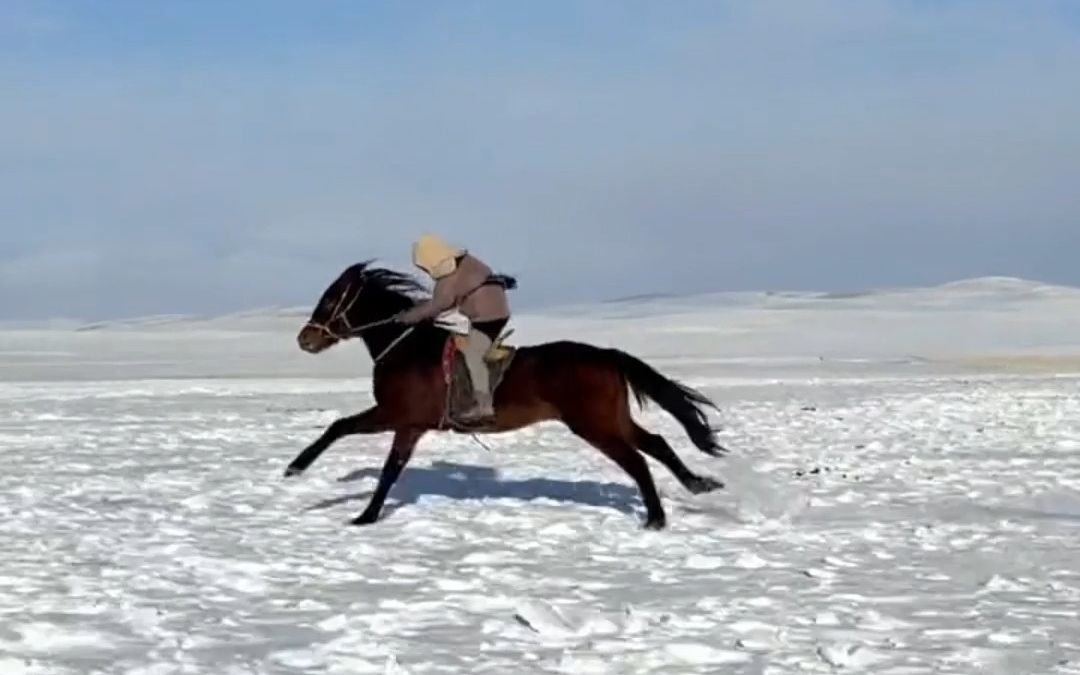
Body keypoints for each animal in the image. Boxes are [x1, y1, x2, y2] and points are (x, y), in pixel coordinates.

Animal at [285, 260, 725, 529]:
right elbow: (372, 454)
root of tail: (606, 355)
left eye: (330, 299)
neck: (406, 349)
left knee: (637, 461)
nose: (304, 339)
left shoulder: (399, 417)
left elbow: (363, 447)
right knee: (657, 443)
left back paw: (656, 518)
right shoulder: (406, 423)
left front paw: (318, 483)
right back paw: (697, 484)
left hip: (594, 425)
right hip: (612, 419)